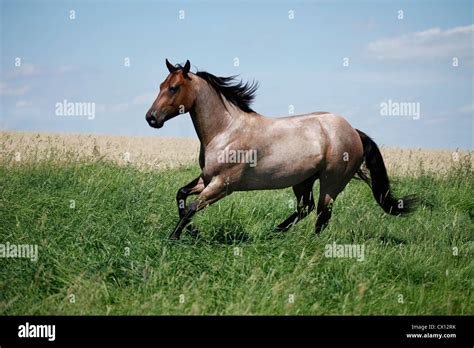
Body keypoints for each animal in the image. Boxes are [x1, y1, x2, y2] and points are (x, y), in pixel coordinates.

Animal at [146, 59, 416, 239]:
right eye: (160, 85)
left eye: (173, 87)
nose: (151, 118)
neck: (226, 131)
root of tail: (353, 132)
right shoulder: (206, 178)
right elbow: (181, 195)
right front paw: (193, 231)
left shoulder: (223, 184)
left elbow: (191, 207)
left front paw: (174, 238)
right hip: (304, 181)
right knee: (306, 208)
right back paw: (274, 232)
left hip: (331, 182)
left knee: (322, 214)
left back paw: (309, 245)